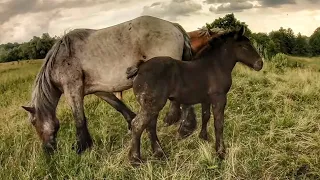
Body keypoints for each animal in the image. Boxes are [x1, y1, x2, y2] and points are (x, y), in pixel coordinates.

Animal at [21, 15, 198, 153]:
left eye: (33, 122)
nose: (48, 150)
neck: (62, 58)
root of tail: (173, 26)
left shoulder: (73, 90)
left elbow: (79, 118)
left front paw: (81, 147)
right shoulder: (99, 90)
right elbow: (118, 105)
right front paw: (131, 123)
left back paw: (174, 121)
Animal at [125, 26, 262, 165]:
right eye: (244, 46)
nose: (260, 64)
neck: (216, 66)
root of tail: (140, 69)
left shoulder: (206, 99)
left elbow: (206, 116)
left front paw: (203, 137)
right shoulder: (219, 98)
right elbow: (219, 123)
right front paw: (221, 152)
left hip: (151, 105)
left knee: (150, 126)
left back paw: (159, 153)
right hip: (152, 105)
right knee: (137, 125)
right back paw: (136, 159)